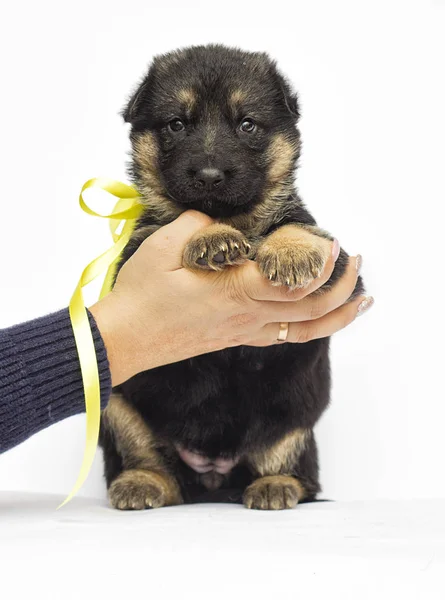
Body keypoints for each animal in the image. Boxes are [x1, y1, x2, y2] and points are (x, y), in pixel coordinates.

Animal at [99, 43, 362, 510]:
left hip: (295, 423)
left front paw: (291, 251)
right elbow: (182, 222)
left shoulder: (342, 269)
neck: (235, 217)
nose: (209, 176)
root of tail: (213, 473)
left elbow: (298, 225)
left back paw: (275, 485)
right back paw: (142, 482)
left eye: (247, 124)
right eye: (176, 124)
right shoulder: (134, 255)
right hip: (116, 402)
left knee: (298, 474)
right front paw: (212, 238)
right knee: (154, 465)